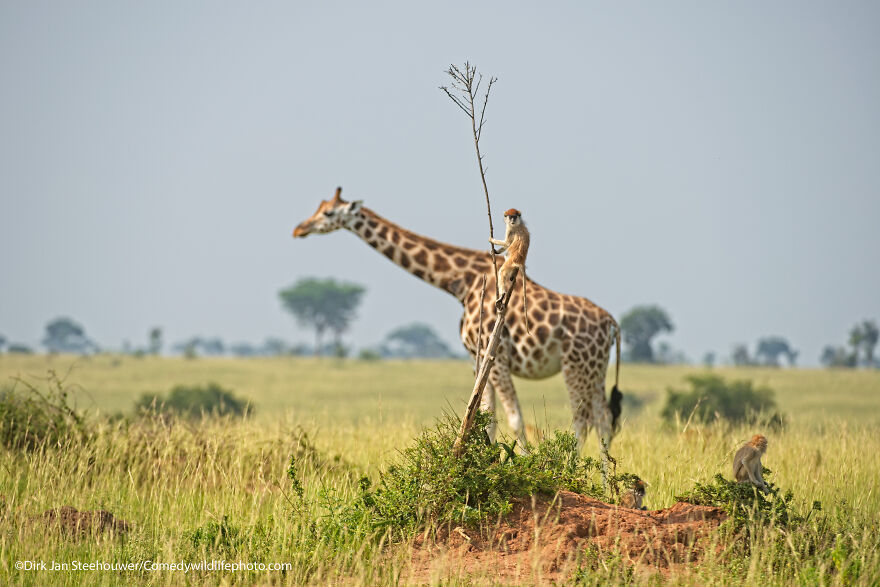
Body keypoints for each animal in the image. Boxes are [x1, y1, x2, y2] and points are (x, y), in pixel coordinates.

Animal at [292, 187, 623, 453]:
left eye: (328, 212)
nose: (298, 229)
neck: (461, 282)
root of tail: (611, 323)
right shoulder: (478, 358)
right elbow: (485, 418)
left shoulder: (496, 357)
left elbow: (515, 419)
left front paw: (522, 464)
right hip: (595, 369)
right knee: (604, 420)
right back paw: (605, 483)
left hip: (575, 366)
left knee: (582, 421)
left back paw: (572, 471)